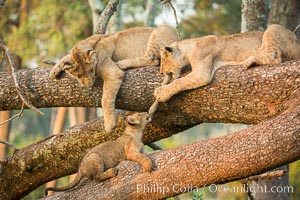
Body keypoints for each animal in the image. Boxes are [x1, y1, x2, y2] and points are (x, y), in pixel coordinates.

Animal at [49, 25, 178, 133]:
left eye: (90, 70)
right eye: (79, 75)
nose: (89, 84)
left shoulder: (113, 73)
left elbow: (105, 99)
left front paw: (109, 125)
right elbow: (66, 56)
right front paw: (54, 71)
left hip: (160, 30)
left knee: (152, 59)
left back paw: (122, 63)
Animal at [155, 24, 300, 102]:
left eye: (164, 60)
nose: (161, 72)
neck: (188, 48)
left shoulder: (202, 73)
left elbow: (180, 81)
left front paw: (161, 93)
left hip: (273, 28)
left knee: (275, 57)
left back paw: (249, 61)